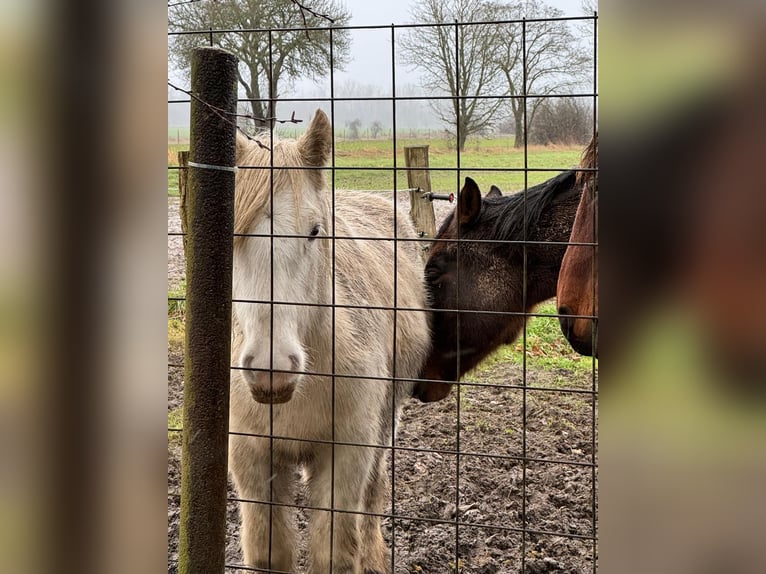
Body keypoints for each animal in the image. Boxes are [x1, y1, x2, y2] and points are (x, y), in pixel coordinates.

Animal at [228, 109, 432, 574]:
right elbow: (270, 554)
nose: (271, 370)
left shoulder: (347, 457)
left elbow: (333, 553)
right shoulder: (254, 460)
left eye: (314, 231)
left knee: (375, 490)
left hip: (386, 422)